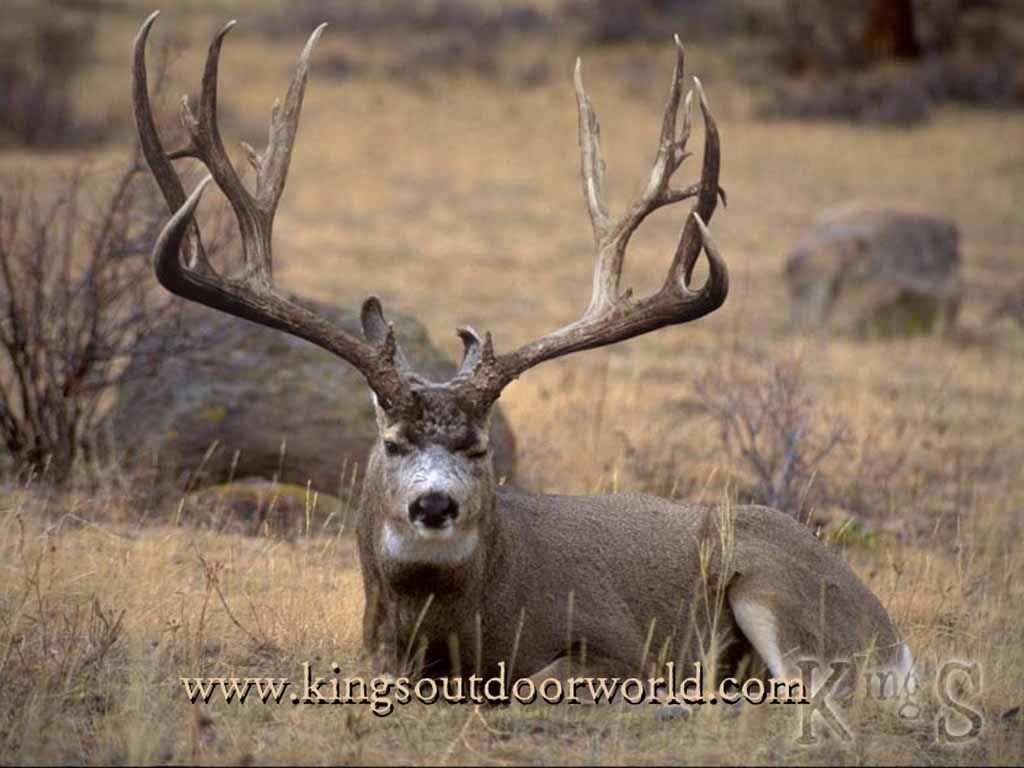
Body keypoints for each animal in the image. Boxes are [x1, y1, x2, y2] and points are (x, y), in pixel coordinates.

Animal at [132, 12, 911, 707]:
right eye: (392, 441)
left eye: (479, 448)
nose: (434, 503)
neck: (453, 636)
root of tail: (897, 644)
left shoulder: (618, 642)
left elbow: (546, 680)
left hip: (777, 588)